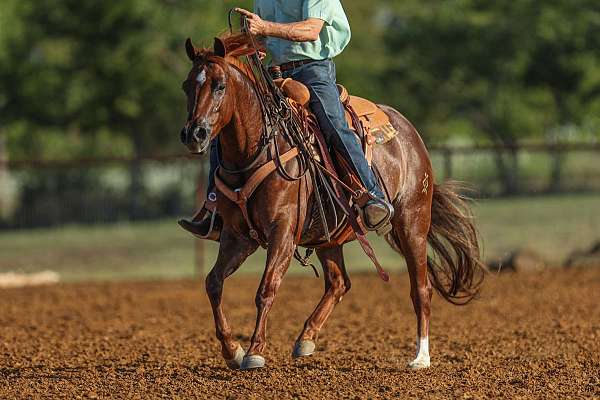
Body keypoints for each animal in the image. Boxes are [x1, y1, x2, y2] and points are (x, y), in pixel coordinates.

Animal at [180, 34, 486, 372]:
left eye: (220, 85)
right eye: (186, 86)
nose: (194, 134)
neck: (256, 151)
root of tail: (410, 135)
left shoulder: (282, 231)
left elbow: (266, 288)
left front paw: (254, 351)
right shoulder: (238, 236)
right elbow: (213, 283)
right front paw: (231, 349)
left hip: (412, 223)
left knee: (421, 288)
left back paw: (420, 356)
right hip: (330, 236)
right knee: (339, 283)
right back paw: (306, 338)